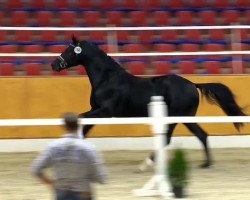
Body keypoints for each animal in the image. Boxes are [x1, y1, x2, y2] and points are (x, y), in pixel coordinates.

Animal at [50, 36, 246, 169]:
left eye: (69, 50)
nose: (54, 65)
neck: (108, 79)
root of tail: (193, 84)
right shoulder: (96, 109)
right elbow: (85, 127)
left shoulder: (105, 111)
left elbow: (82, 120)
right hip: (185, 117)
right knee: (201, 135)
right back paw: (206, 164)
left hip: (175, 117)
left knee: (169, 138)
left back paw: (146, 164)